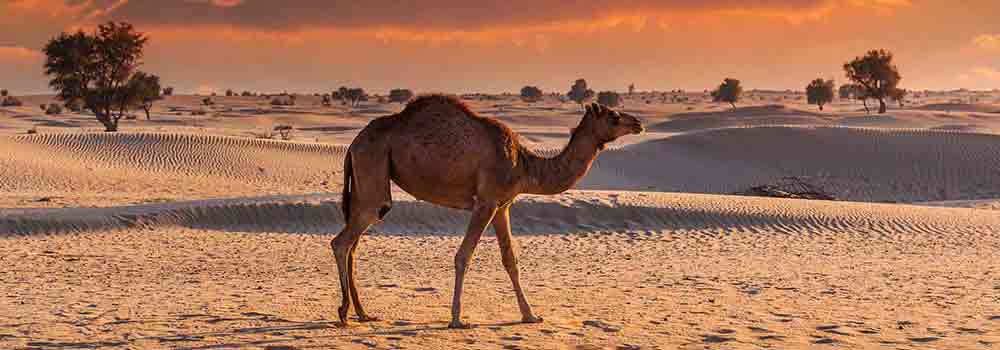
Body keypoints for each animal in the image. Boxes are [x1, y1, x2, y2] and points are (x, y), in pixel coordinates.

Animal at [332, 95, 644, 328]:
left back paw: (363, 313)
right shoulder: (486, 201)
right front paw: (457, 319)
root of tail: (354, 143)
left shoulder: (502, 205)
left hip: (365, 181)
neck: (524, 165)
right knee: (342, 242)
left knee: (353, 244)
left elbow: (510, 259)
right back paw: (344, 312)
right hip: (373, 171)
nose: (639, 123)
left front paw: (530, 315)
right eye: (614, 116)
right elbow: (463, 255)